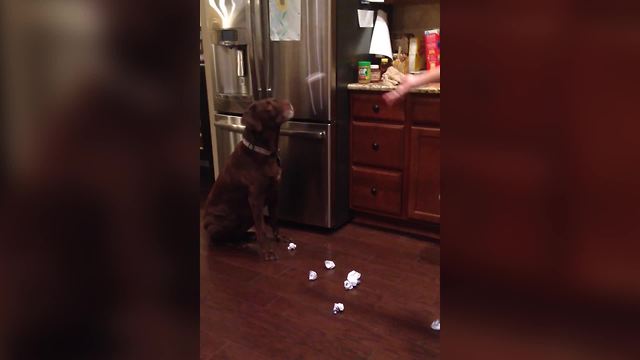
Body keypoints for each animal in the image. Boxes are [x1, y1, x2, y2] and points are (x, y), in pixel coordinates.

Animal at [202, 98, 296, 260]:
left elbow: (274, 220)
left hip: (247, 216)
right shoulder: (256, 199)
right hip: (225, 221)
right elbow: (261, 229)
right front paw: (267, 252)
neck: (263, 152)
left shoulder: (274, 194)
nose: (288, 103)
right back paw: (237, 243)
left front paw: (279, 238)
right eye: (269, 104)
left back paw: (247, 237)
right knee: (219, 240)